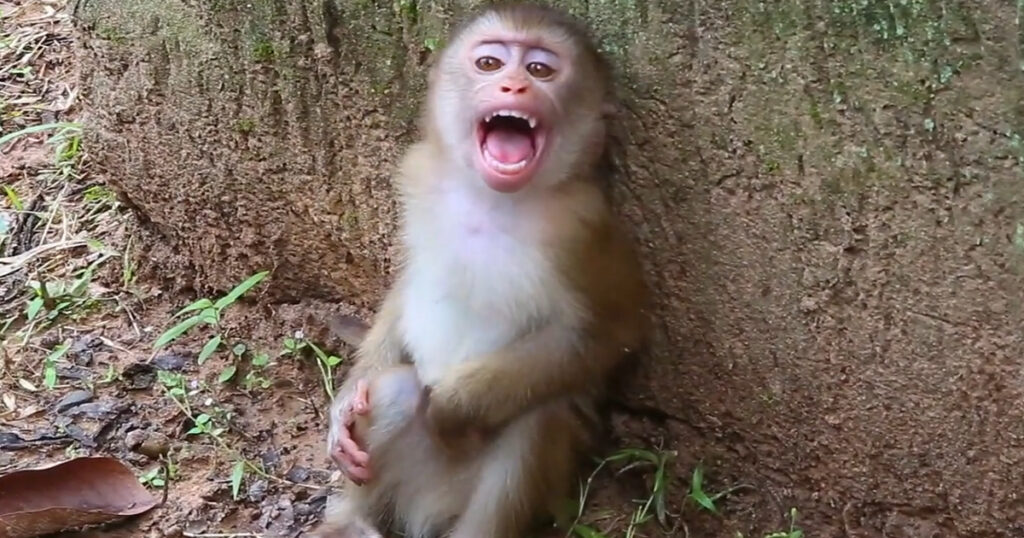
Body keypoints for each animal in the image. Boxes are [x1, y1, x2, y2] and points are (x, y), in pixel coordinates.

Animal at [312, 3, 647, 537]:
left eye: (540, 69)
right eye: (490, 63)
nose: (513, 86)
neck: (490, 200)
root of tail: (429, 509)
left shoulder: (583, 228)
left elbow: (609, 332)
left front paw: (451, 409)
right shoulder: (419, 175)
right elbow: (409, 284)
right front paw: (343, 405)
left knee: (535, 422)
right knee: (396, 391)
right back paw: (350, 521)